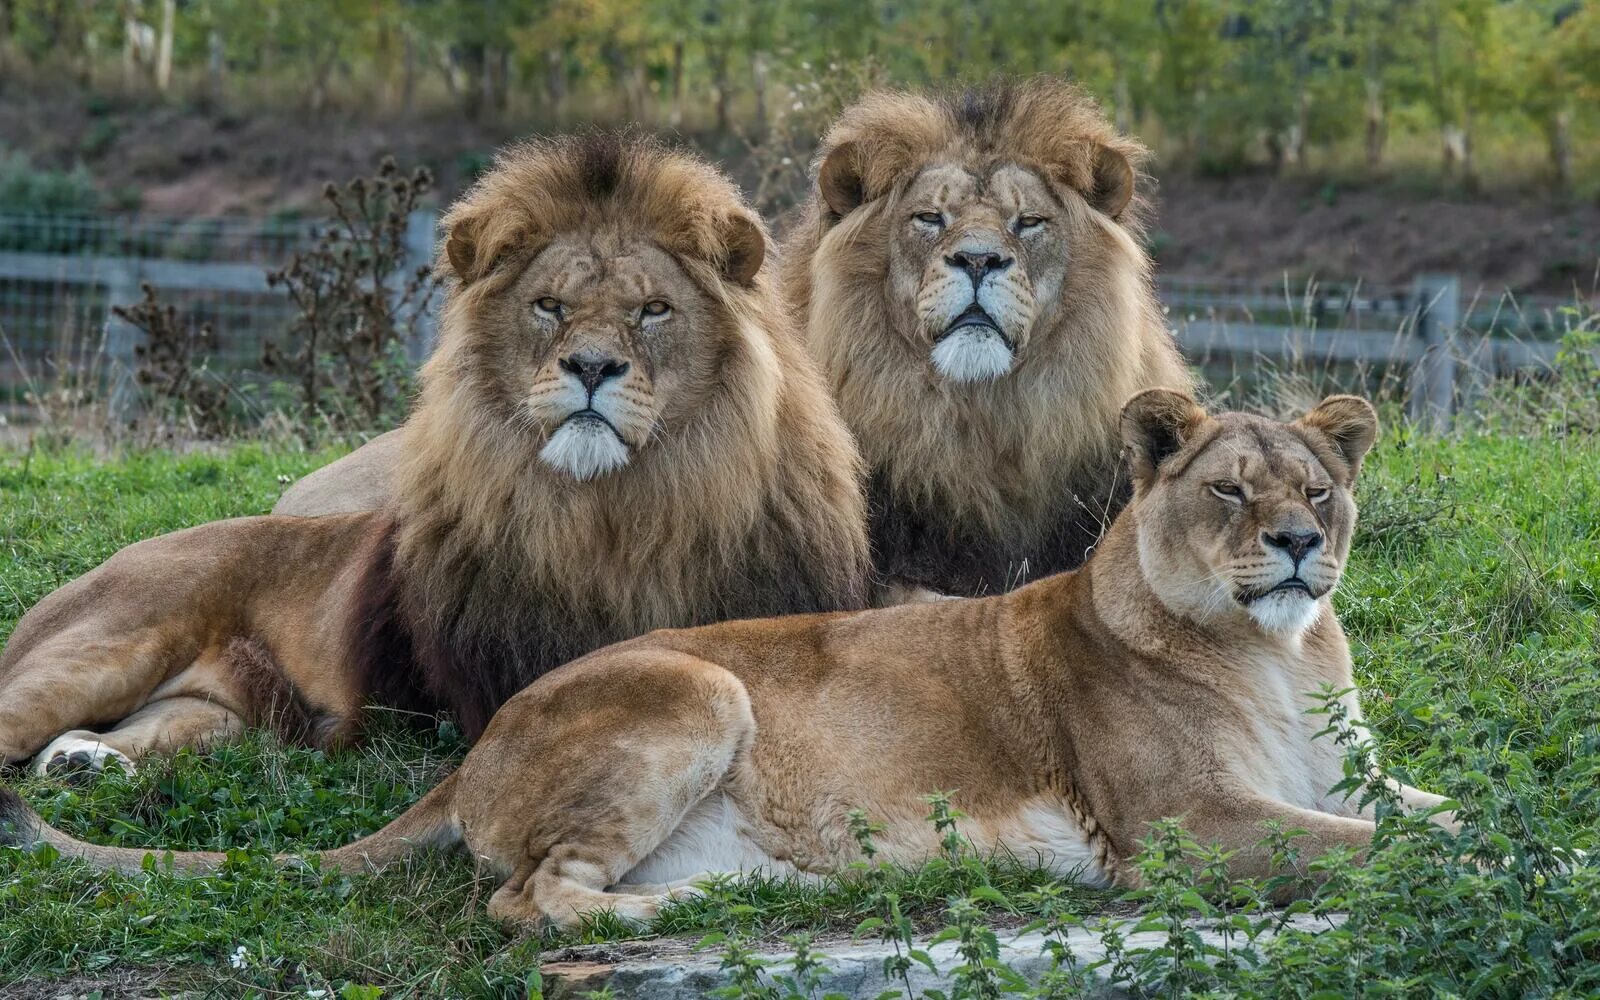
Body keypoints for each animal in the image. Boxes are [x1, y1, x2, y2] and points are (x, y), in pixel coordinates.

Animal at [0, 132, 870, 771]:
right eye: (548, 306)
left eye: (652, 310)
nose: (591, 367)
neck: (618, 517)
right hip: (98, 654)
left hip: (214, 718)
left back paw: (83, 765)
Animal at [0, 390, 1459, 928]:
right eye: (1228, 491)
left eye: (1318, 489)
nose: (1296, 543)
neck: (1281, 653)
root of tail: (476, 745)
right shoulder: (1185, 829)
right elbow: (1369, 848)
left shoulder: (1346, 775)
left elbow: (1431, 810)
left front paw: (1501, 835)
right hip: (697, 684)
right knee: (528, 900)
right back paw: (689, 917)